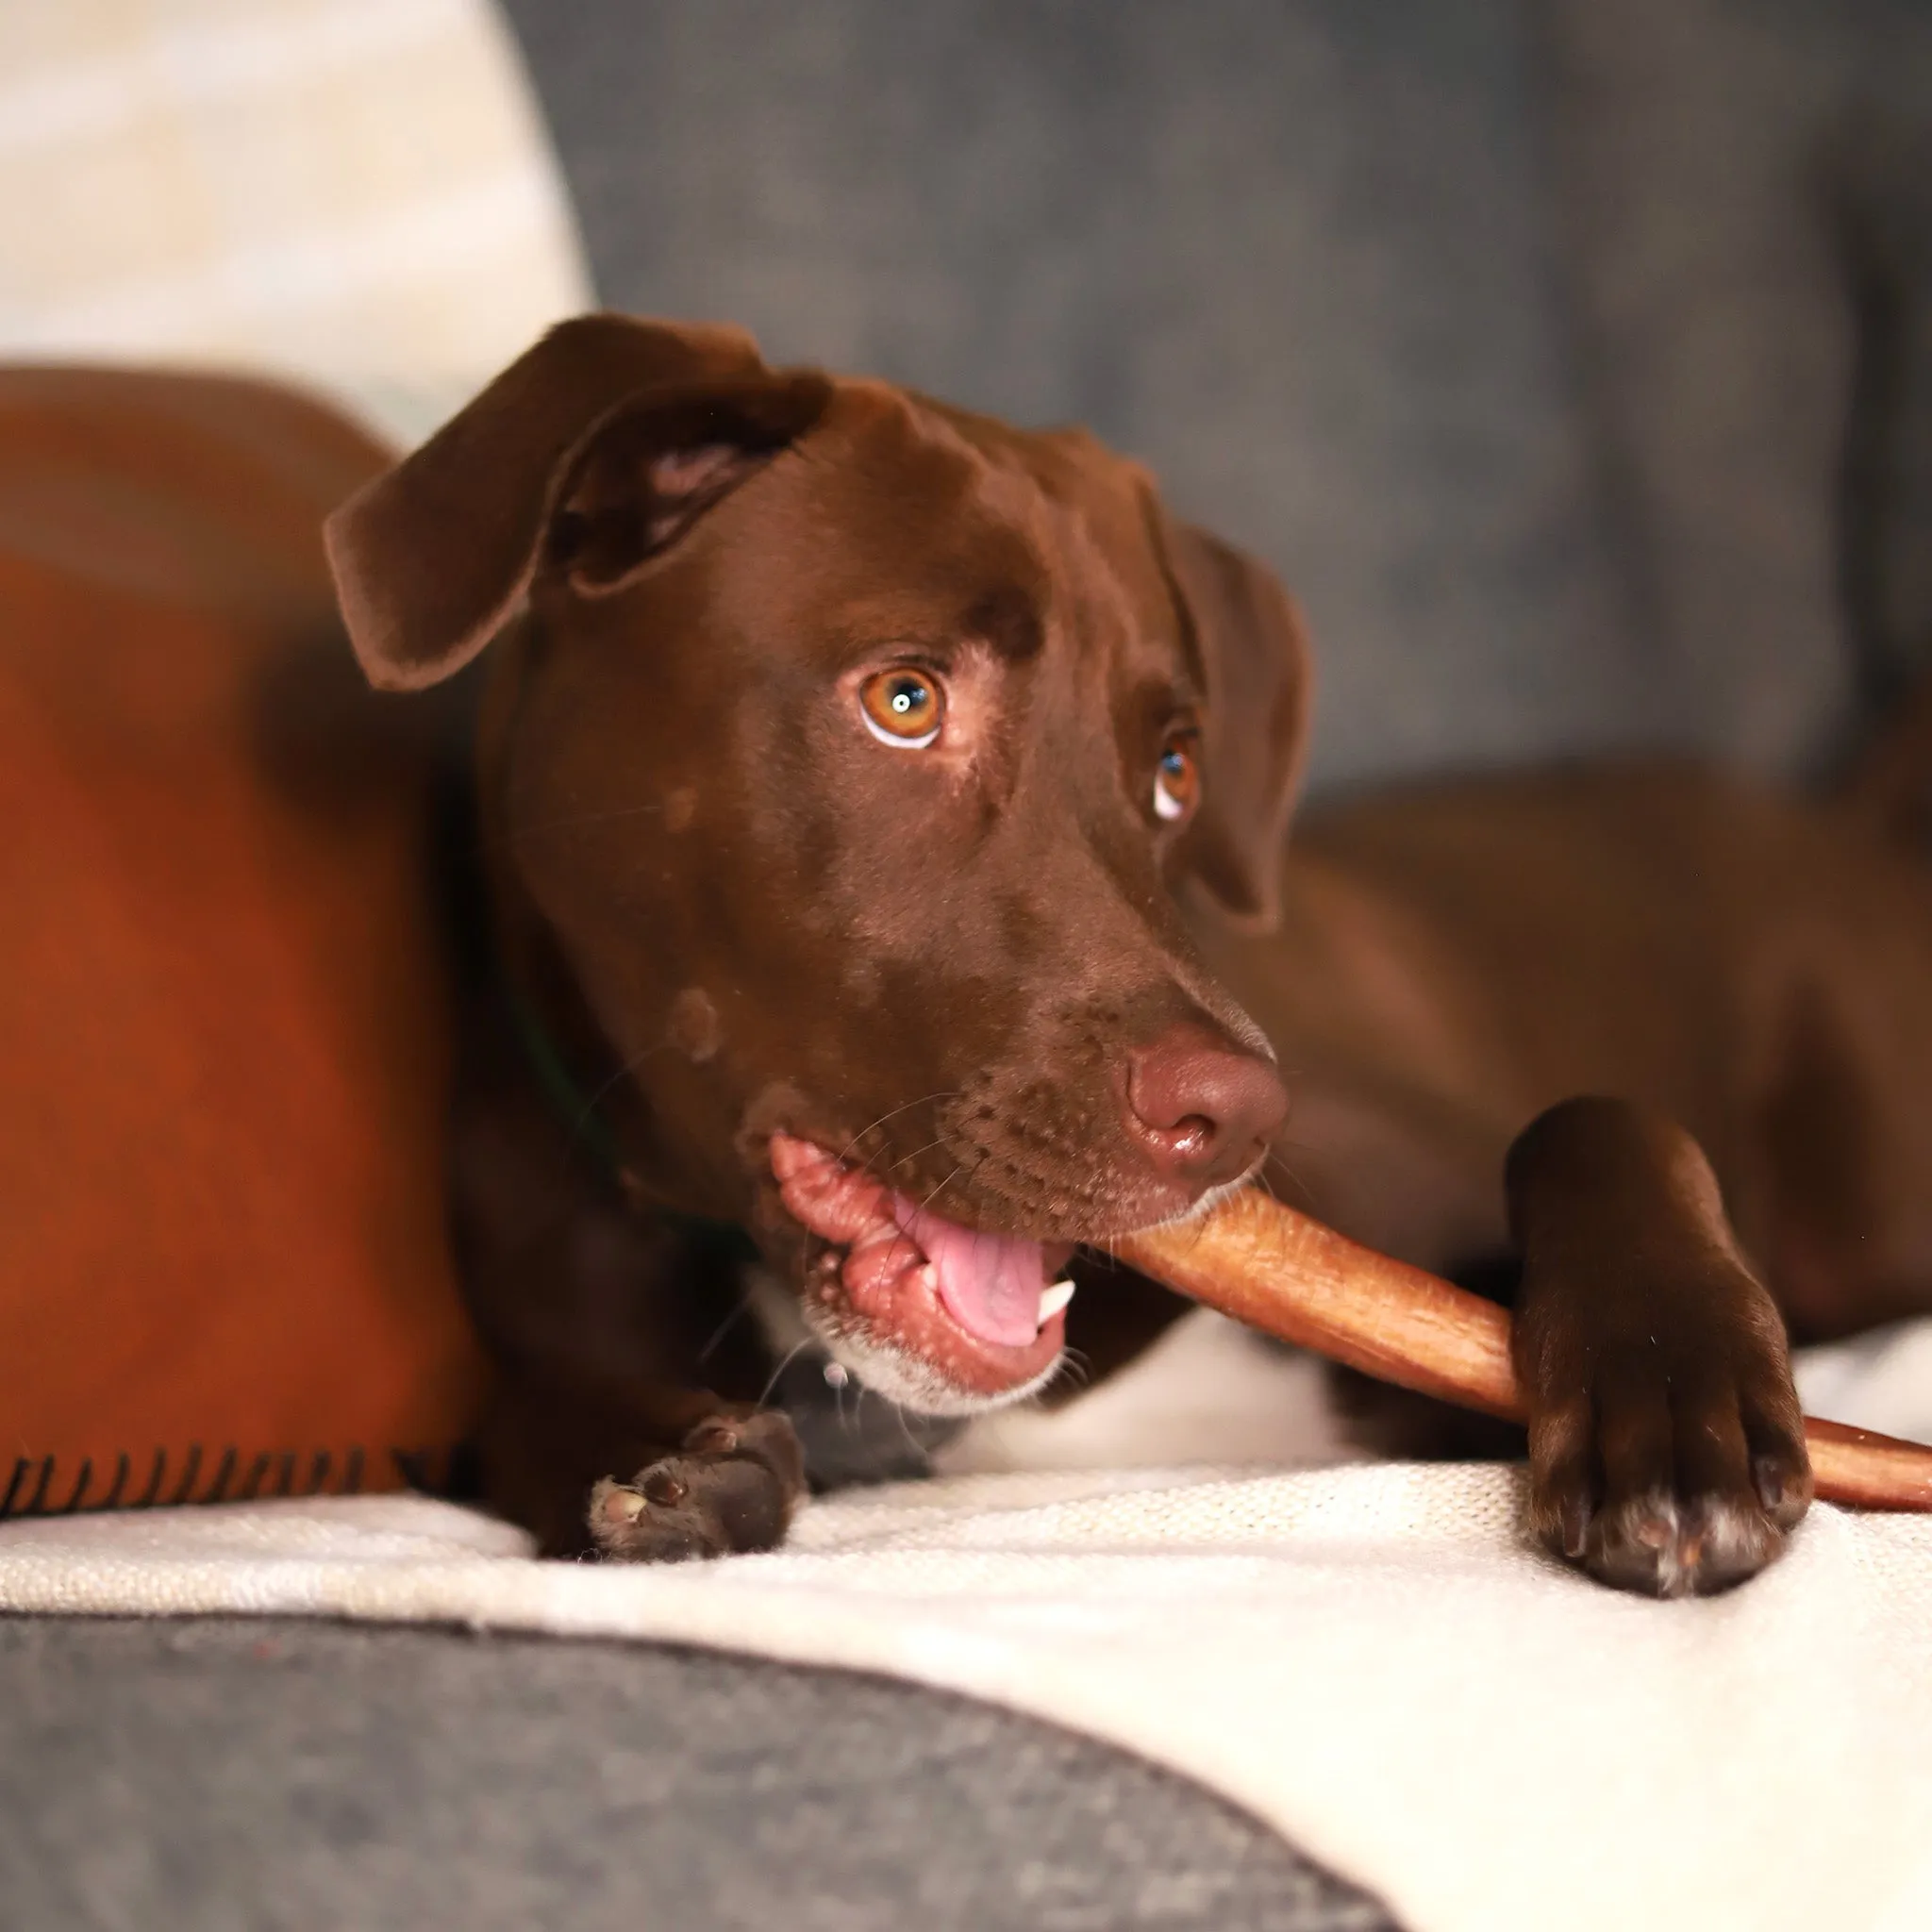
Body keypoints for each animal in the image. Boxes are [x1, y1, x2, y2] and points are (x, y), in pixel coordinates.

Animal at [325, 312, 1924, 1584]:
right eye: (904, 699)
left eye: (1172, 770)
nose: (1240, 1119)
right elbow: (520, 1409)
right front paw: (655, 1458)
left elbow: (1594, 1118)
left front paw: (1673, 1396)